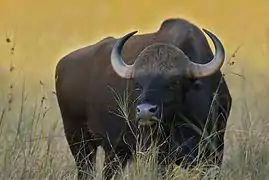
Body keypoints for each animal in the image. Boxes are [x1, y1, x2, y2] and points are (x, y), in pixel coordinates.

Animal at [54, 17, 230, 179]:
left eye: (174, 81)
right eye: (138, 83)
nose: (145, 111)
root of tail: (62, 64)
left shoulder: (214, 153)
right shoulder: (160, 156)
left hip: (116, 152)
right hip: (78, 140)